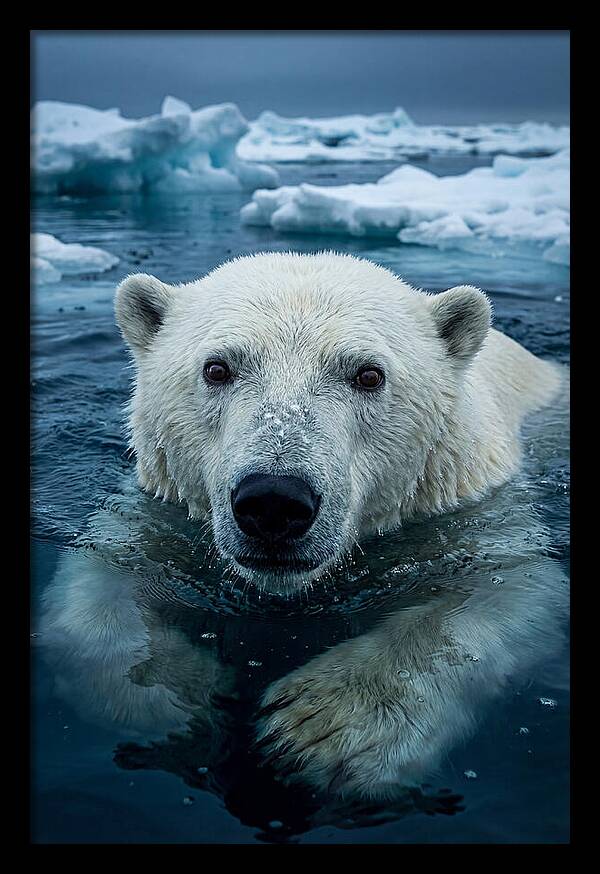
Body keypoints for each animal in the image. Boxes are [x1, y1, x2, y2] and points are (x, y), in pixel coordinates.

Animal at [38, 252, 568, 818]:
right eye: (217, 367)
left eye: (368, 374)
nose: (274, 501)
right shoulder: (159, 512)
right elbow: (101, 583)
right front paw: (178, 697)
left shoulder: (472, 511)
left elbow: (508, 590)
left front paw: (322, 728)